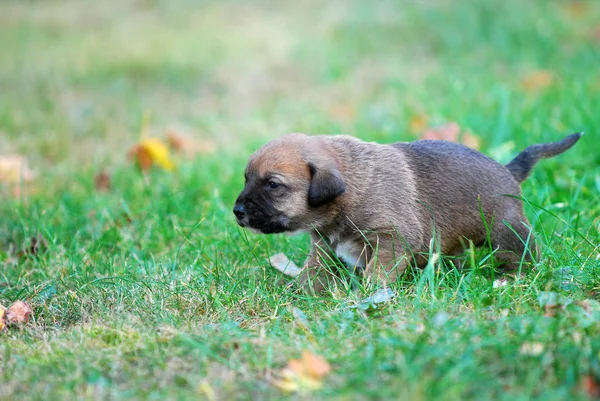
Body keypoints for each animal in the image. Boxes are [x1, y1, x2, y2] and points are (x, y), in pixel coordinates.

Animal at [233, 133, 580, 292]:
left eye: (273, 185)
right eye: (246, 178)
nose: (237, 211)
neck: (352, 186)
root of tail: (508, 170)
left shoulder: (392, 239)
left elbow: (378, 270)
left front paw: (369, 294)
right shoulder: (324, 246)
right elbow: (313, 271)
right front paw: (298, 292)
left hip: (505, 230)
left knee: (524, 254)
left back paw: (514, 277)